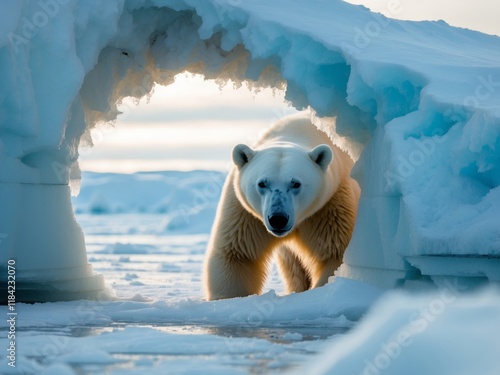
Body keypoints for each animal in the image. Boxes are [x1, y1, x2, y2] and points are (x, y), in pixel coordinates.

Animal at [203, 113, 360, 302]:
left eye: (295, 183)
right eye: (262, 183)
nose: (278, 219)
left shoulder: (330, 207)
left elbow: (334, 254)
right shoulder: (245, 213)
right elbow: (238, 254)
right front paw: (228, 298)